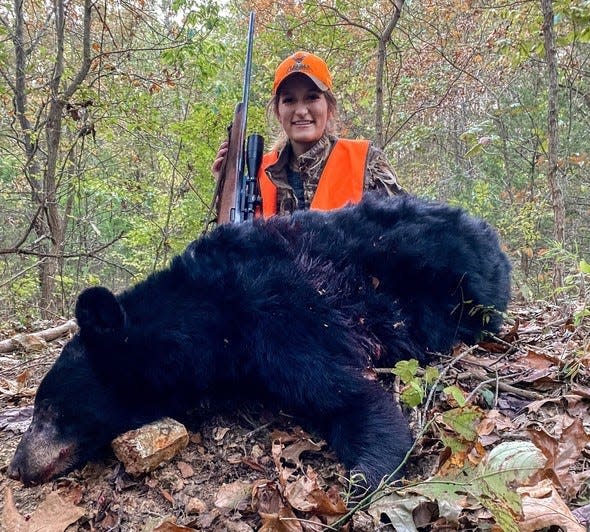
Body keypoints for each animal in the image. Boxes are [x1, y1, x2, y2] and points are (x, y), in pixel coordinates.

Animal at [6, 193, 512, 488]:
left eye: (47, 409)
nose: (15, 466)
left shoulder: (277, 316)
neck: (203, 317)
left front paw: (370, 466)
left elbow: (345, 394)